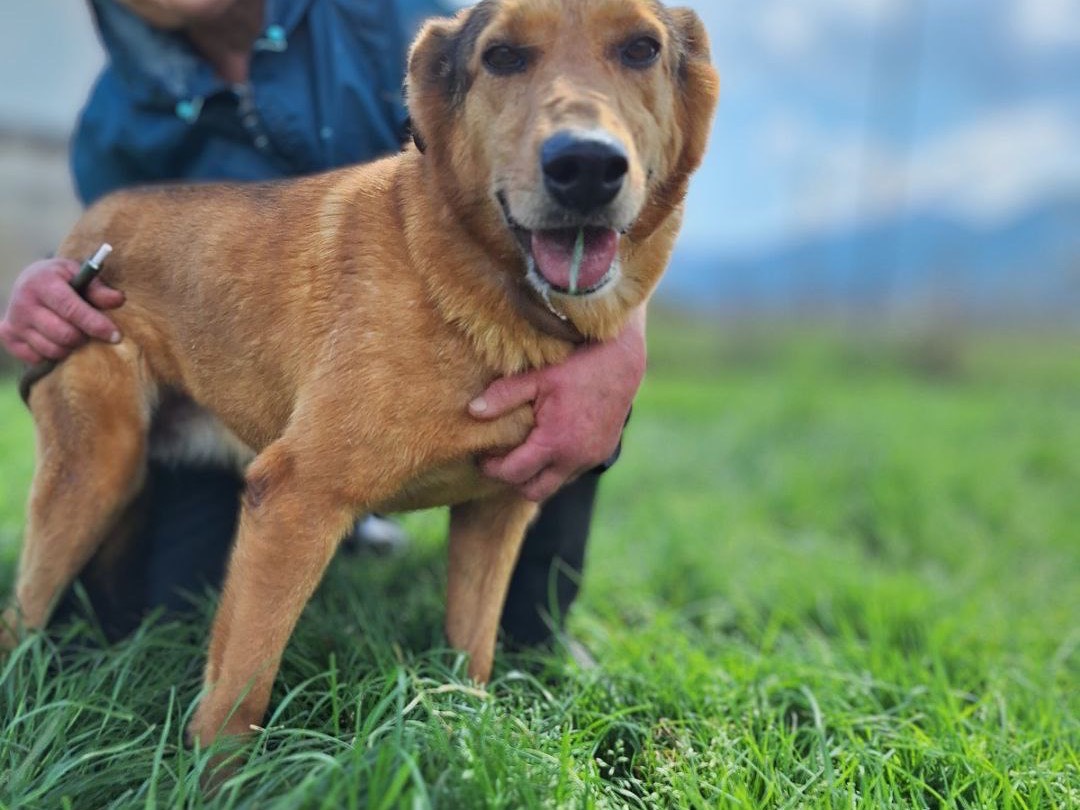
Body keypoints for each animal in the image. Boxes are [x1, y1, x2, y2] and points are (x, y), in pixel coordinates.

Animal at [4, 0, 721, 751]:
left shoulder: (496, 512)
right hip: (95, 473)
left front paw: (466, 731)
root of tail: (89, 223)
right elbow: (239, 691)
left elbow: (473, 655)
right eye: (502, 57)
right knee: (19, 618)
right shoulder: (293, 500)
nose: (585, 166)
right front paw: (219, 773)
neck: (472, 284)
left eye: (641, 49)